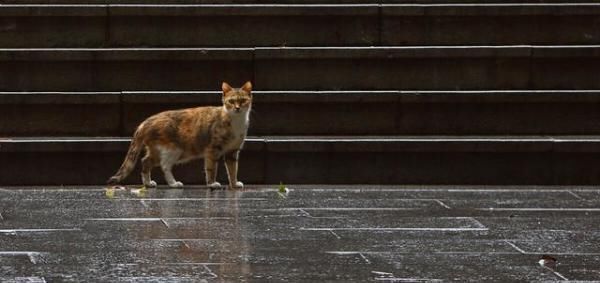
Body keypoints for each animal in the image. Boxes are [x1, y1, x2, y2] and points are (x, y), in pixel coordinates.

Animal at [106, 81, 252, 189]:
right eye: (231, 101)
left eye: (243, 100)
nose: (237, 108)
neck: (236, 121)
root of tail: (146, 121)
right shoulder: (212, 149)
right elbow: (211, 168)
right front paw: (211, 184)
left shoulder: (233, 151)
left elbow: (233, 170)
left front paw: (234, 184)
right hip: (174, 149)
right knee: (164, 165)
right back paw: (173, 183)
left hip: (159, 149)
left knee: (146, 161)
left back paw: (148, 183)